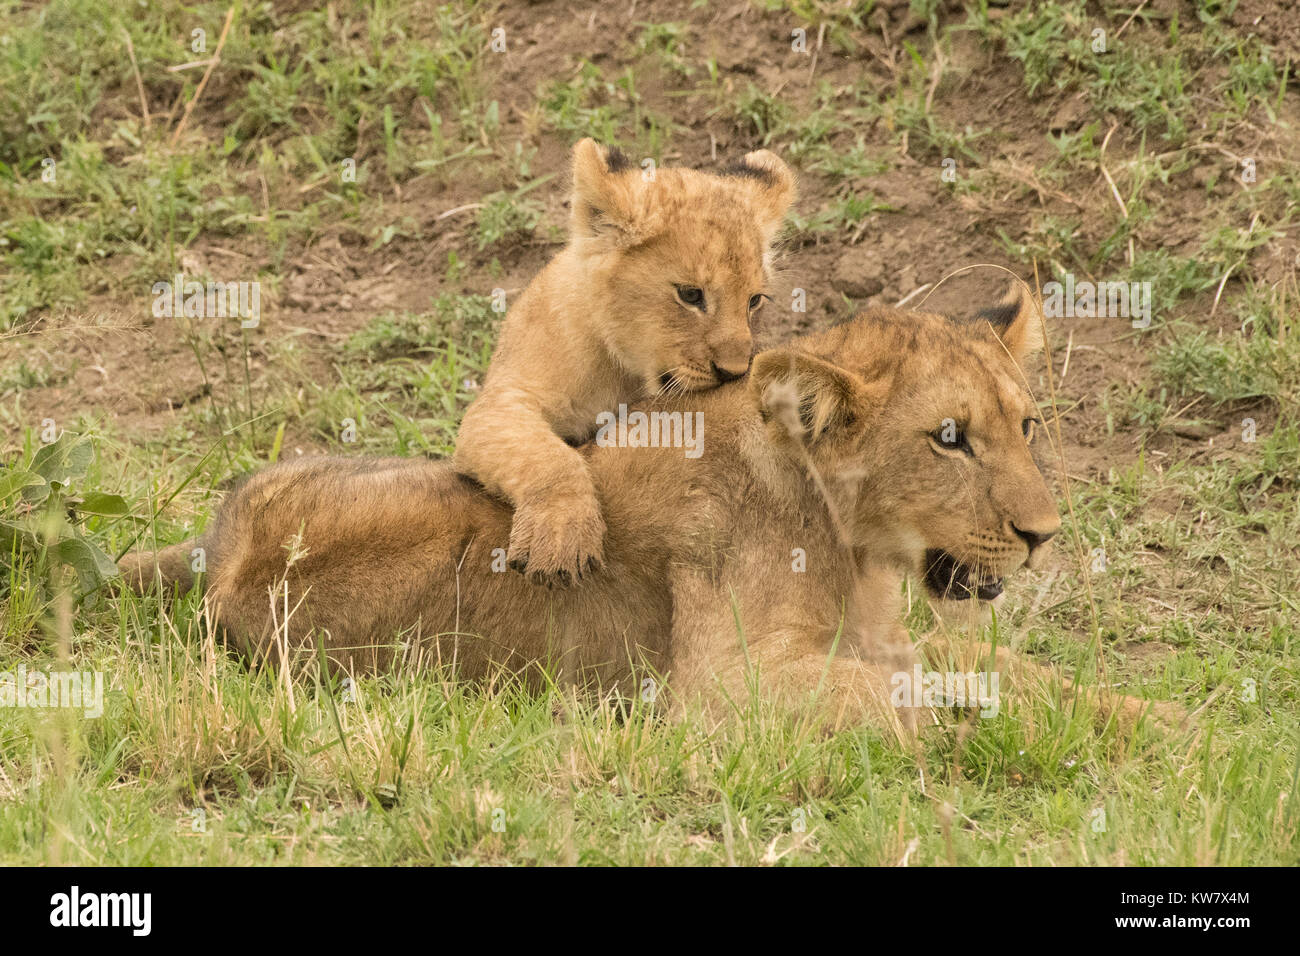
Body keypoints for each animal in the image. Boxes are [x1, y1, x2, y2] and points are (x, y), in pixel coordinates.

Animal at [120, 287, 1176, 734]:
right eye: (950, 439)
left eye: (1025, 425)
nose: (1044, 537)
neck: (859, 549)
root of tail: (223, 556)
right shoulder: (729, 692)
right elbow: (955, 692)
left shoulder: (885, 638)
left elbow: (1021, 673)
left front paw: (1166, 723)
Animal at [453, 138, 796, 587]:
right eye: (690, 295)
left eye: (755, 300)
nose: (734, 372)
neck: (622, 372)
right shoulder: (499, 403)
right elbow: (545, 456)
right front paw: (561, 534)